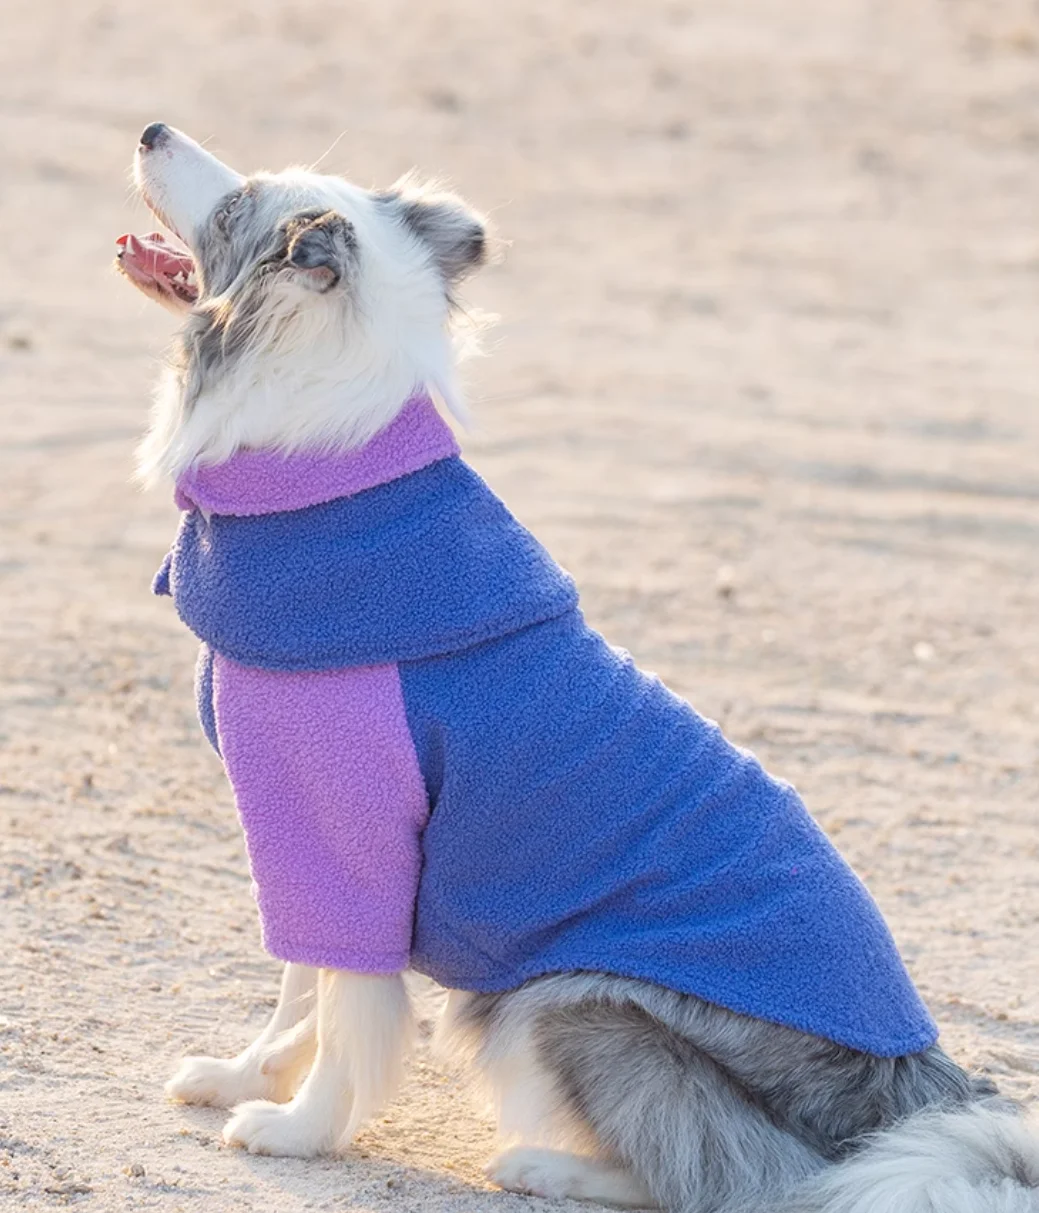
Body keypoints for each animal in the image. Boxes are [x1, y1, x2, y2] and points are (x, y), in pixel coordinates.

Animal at [117, 125, 1032, 1213]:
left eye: (233, 206)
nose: (152, 130)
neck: (325, 480)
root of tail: (921, 1100)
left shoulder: (353, 830)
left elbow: (345, 1012)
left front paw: (298, 1129)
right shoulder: (299, 833)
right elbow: (300, 989)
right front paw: (239, 1075)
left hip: (570, 1000)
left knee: (729, 1171)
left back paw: (543, 1163)